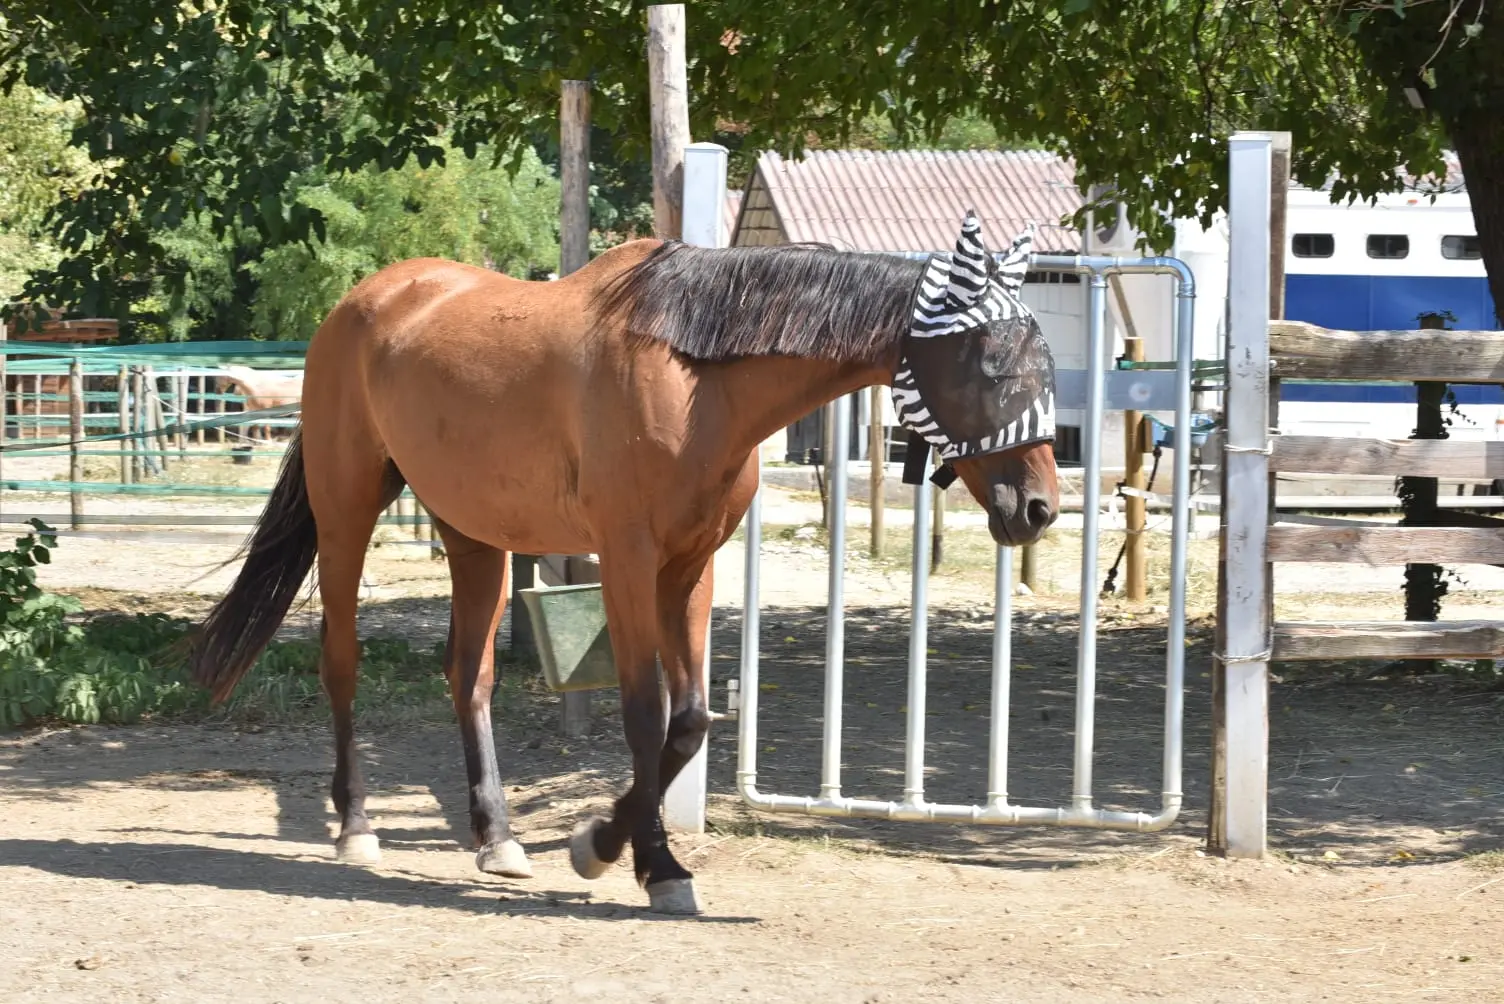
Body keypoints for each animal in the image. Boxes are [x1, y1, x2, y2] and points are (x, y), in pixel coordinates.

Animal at [185, 211, 1060, 915]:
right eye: (989, 364)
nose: (1039, 508)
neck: (692, 372)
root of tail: (359, 306)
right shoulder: (630, 560)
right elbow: (646, 714)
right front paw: (630, 857)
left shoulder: (692, 566)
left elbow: (691, 719)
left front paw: (623, 847)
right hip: (347, 515)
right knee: (342, 661)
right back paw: (357, 827)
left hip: (475, 537)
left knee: (470, 675)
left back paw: (496, 837)